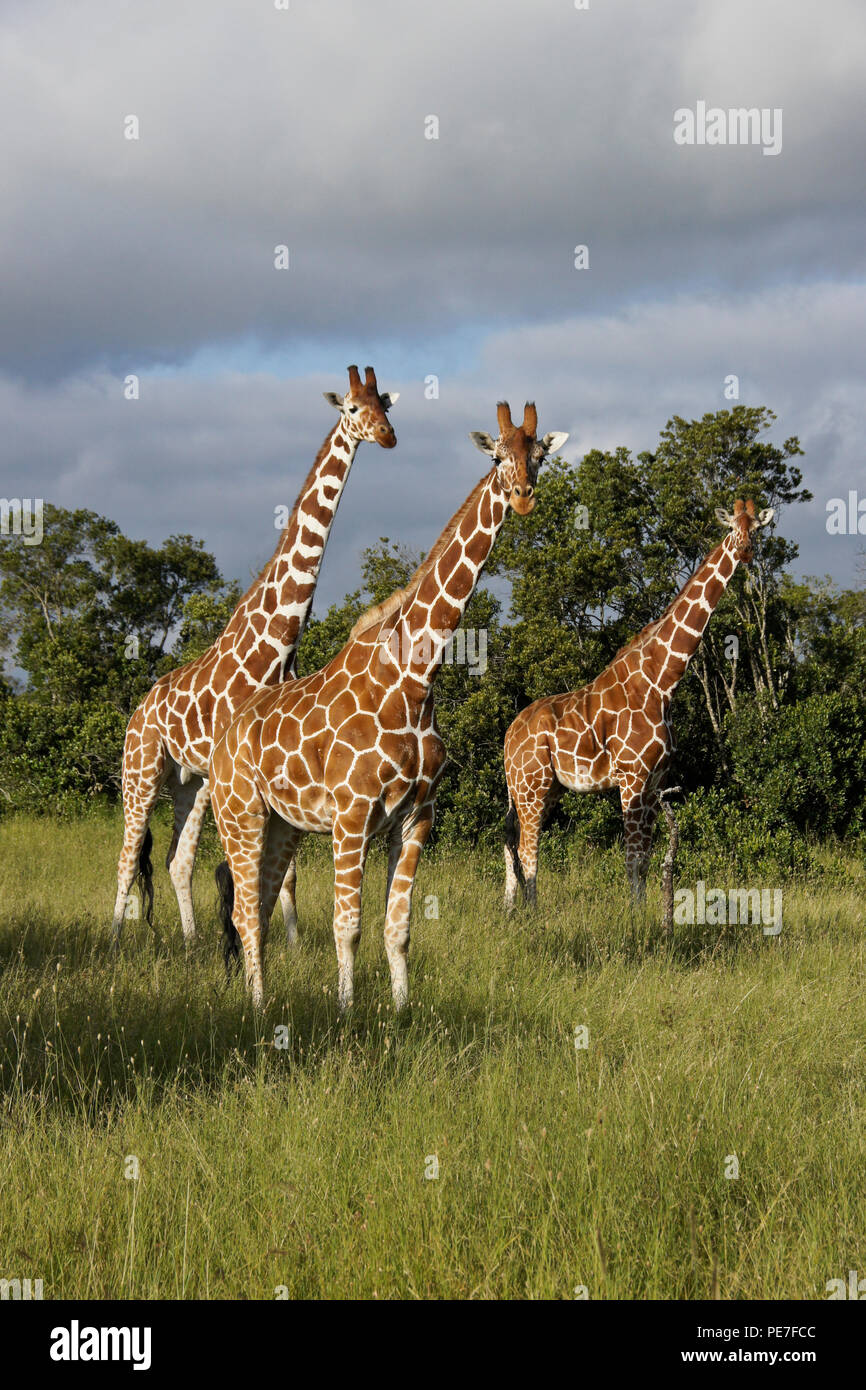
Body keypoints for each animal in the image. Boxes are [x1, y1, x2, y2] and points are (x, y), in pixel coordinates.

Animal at [111, 364, 400, 945]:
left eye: (384, 405)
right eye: (352, 408)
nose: (386, 436)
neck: (277, 639)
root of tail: (139, 708)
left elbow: (283, 873)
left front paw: (288, 942)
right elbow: (247, 868)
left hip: (190, 782)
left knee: (176, 858)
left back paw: (191, 942)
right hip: (142, 767)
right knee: (128, 855)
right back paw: (110, 940)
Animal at [209, 403, 569, 1011]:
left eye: (539, 454)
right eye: (498, 455)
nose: (522, 495)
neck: (416, 680)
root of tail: (220, 743)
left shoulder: (416, 816)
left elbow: (397, 926)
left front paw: (401, 1011)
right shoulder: (352, 817)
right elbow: (347, 925)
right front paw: (346, 1011)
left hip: (284, 825)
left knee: (258, 905)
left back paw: (265, 998)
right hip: (241, 814)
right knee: (242, 911)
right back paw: (257, 1008)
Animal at [505, 497, 778, 911]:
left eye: (757, 529)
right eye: (732, 527)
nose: (745, 550)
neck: (661, 682)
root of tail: (507, 737)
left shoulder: (655, 782)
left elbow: (647, 859)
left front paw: (649, 914)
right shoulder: (631, 777)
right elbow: (632, 857)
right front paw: (636, 919)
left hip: (542, 789)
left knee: (508, 840)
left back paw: (507, 909)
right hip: (530, 786)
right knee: (526, 848)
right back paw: (533, 913)